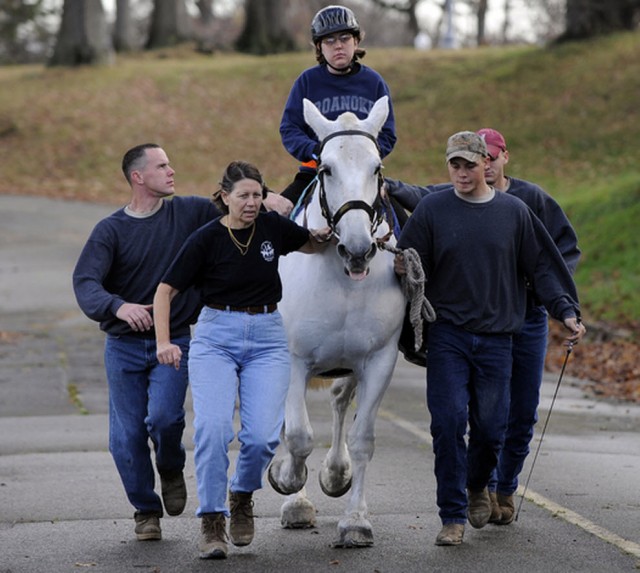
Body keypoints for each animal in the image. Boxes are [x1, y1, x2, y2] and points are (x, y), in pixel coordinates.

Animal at [270, 96, 404, 548]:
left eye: (377, 167)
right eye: (325, 168)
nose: (358, 248)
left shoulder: (379, 360)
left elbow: (363, 440)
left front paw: (356, 522)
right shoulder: (293, 360)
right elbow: (297, 434)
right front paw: (290, 486)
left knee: (340, 400)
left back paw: (335, 472)